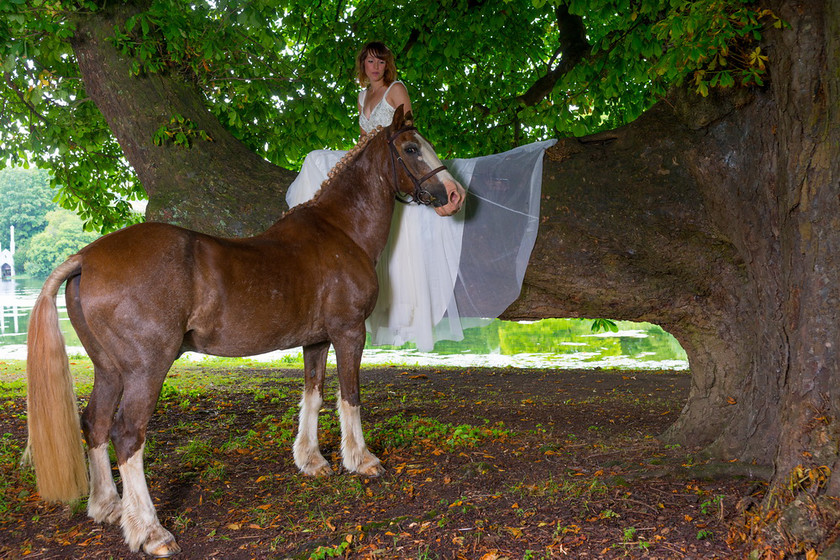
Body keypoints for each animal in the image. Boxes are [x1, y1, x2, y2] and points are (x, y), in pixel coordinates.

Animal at [23, 107, 466, 556]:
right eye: (411, 148)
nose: (454, 196)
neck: (340, 231)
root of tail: (85, 257)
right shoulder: (348, 333)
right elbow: (350, 395)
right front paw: (362, 460)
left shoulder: (316, 341)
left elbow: (314, 395)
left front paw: (311, 461)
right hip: (147, 369)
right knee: (127, 436)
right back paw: (151, 531)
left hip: (110, 370)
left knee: (95, 424)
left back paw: (107, 507)